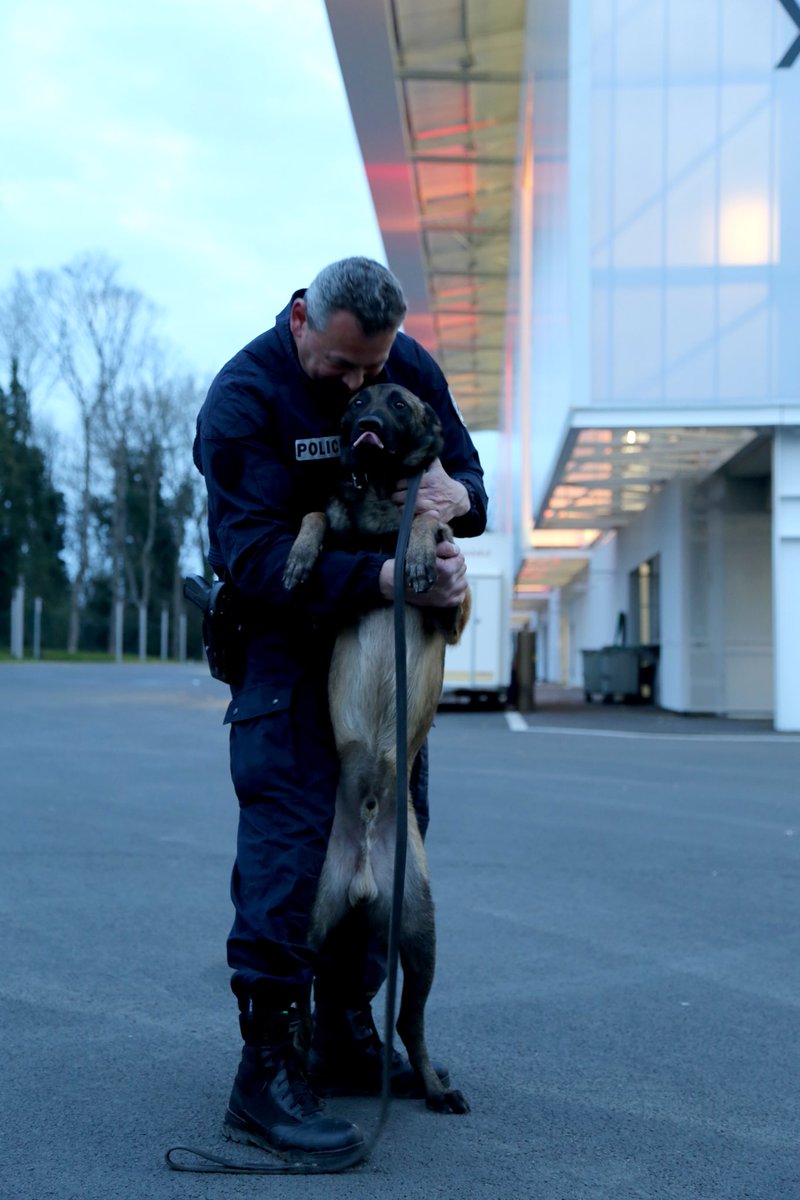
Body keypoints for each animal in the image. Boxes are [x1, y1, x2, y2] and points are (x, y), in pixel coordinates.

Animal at [281, 384, 470, 1113]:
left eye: (398, 402)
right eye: (359, 397)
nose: (363, 420)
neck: (378, 505)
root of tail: (363, 871)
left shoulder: (451, 605)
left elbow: (430, 527)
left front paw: (413, 550)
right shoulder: (323, 610)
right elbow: (313, 514)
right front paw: (300, 556)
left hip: (421, 937)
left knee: (409, 1022)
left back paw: (432, 1085)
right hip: (308, 922)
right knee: (303, 997)